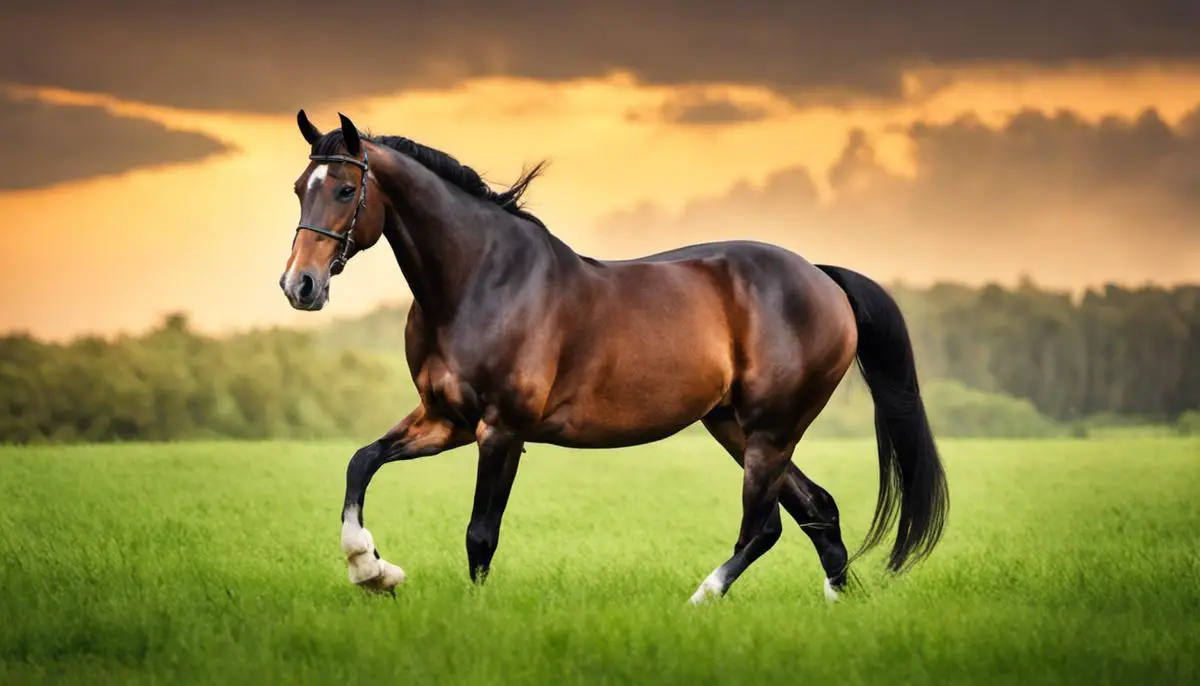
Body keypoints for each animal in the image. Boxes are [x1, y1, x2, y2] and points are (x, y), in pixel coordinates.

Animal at [278, 109, 945, 602]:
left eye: (345, 189)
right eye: (299, 189)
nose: (299, 286)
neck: (478, 280)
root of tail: (823, 278)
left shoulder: (502, 429)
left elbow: (479, 534)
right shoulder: (447, 421)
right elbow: (361, 462)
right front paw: (371, 569)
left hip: (770, 432)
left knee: (765, 526)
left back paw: (699, 600)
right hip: (734, 426)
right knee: (817, 511)